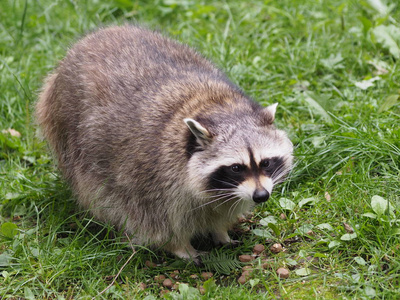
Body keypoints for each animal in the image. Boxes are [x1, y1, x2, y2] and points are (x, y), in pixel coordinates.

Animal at [36, 24, 294, 262]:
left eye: (266, 163)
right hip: (64, 125)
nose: (261, 196)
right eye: (236, 168)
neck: (219, 108)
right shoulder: (149, 177)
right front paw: (180, 246)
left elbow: (221, 209)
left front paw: (220, 229)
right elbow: (156, 220)